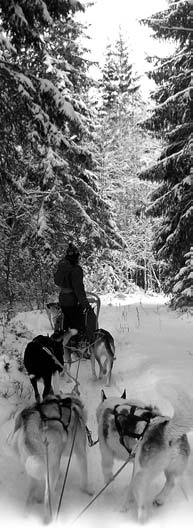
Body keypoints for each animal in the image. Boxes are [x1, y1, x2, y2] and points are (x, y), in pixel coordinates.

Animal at [96, 386, 193, 520]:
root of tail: (166, 431)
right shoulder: (134, 462)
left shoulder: (106, 454)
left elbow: (107, 474)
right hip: (171, 467)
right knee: (171, 482)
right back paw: (159, 499)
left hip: (141, 477)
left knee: (142, 508)